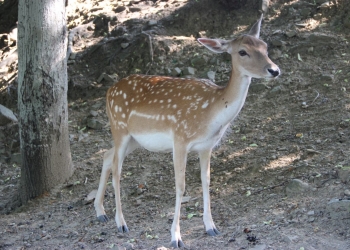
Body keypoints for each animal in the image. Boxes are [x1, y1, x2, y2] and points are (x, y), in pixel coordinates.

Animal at [94, 14, 280, 247]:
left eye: (265, 47)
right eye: (242, 51)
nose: (274, 70)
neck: (211, 112)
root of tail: (109, 91)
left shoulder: (207, 146)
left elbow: (206, 181)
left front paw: (211, 227)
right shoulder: (180, 139)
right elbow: (180, 186)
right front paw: (176, 237)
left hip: (134, 140)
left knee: (106, 156)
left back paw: (100, 212)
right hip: (119, 128)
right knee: (117, 171)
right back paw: (121, 223)